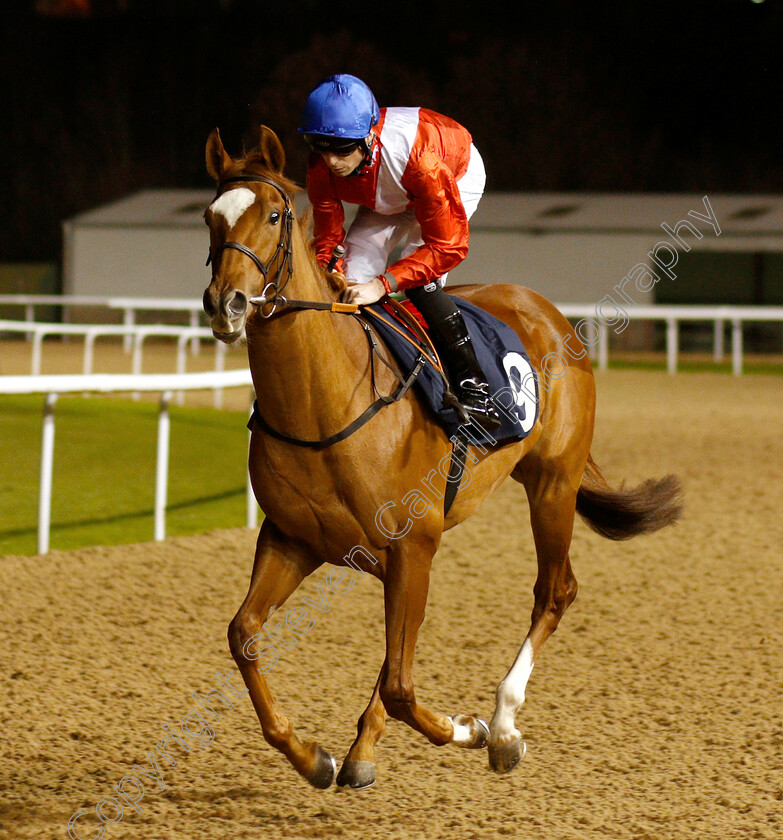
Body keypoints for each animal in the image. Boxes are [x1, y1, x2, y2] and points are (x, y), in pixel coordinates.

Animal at [204, 124, 688, 788]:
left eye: (274, 215)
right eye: (210, 217)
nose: (224, 303)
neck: (324, 403)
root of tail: (546, 309)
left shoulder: (411, 544)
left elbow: (403, 685)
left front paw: (470, 728)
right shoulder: (294, 539)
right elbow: (245, 635)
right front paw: (314, 757)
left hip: (552, 484)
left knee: (554, 591)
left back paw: (503, 725)